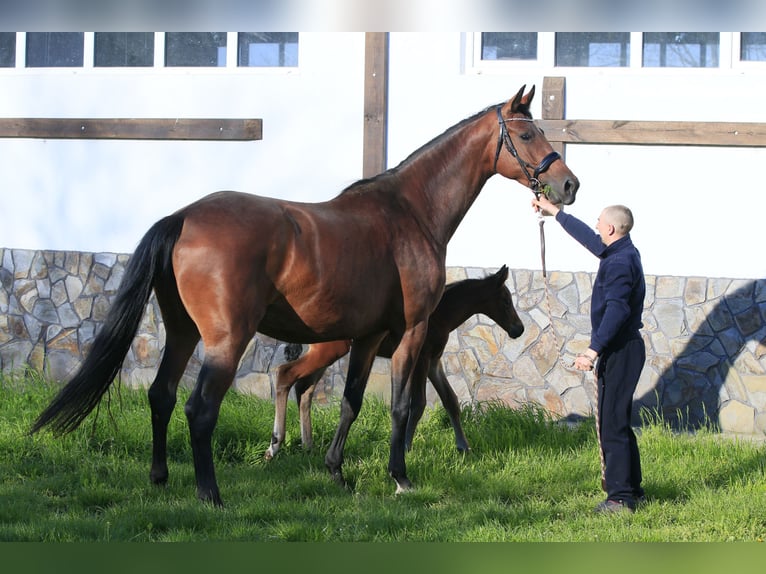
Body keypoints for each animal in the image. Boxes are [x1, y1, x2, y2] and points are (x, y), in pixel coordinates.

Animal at [268, 268, 524, 462]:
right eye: (505, 300)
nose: (518, 329)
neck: (441, 313)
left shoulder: (434, 362)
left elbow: (450, 400)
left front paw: (464, 447)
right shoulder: (422, 359)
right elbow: (418, 404)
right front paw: (406, 448)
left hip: (325, 353)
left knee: (304, 389)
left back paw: (308, 445)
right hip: (329, 351)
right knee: (284, 374)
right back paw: (275, 446)